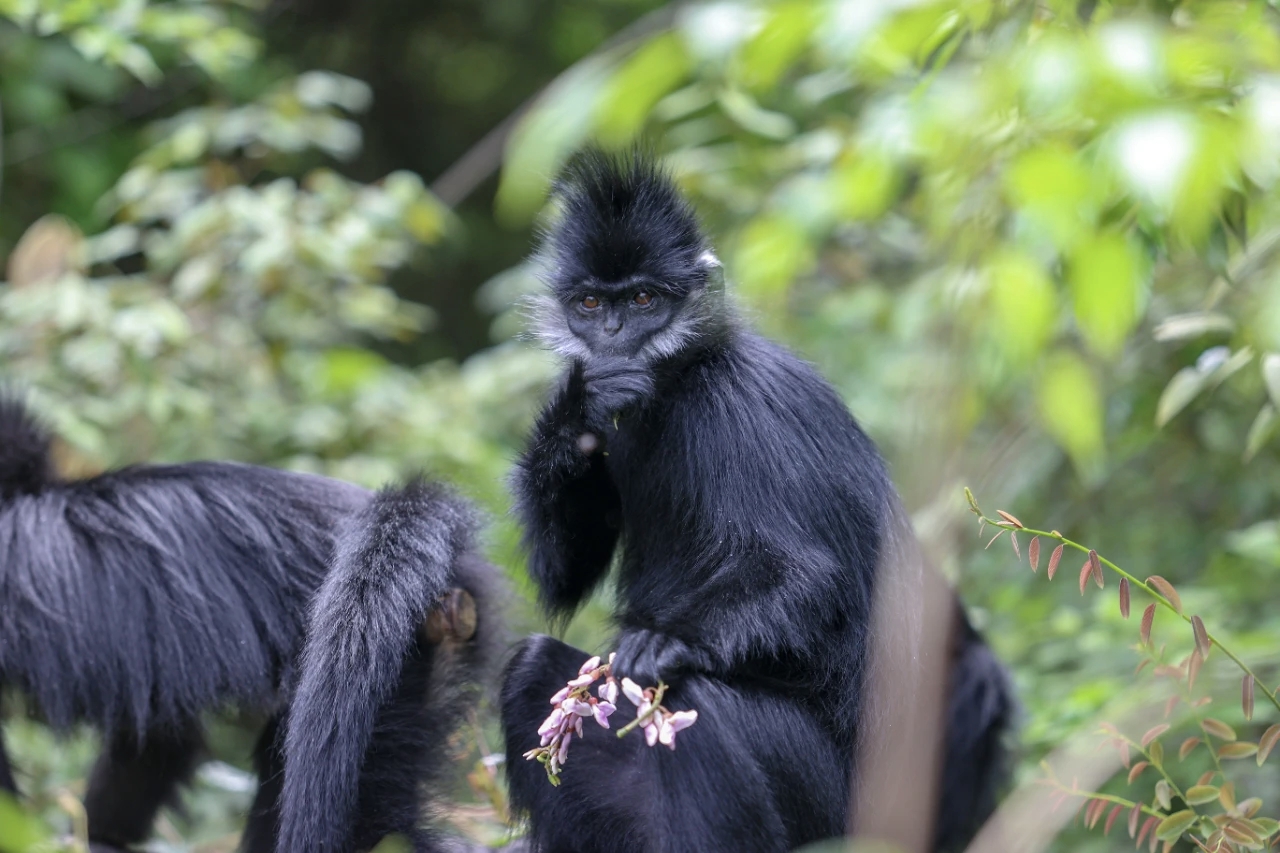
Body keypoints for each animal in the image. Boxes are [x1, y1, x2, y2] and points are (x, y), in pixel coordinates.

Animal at [499, 150, 1015, 853]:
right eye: (590, 302)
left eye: (642, 300)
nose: (613, 334)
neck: (680, 383)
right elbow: (562, 575)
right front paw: (580, 405)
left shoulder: (742, 410)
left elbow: (807, 578)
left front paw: (665, 642)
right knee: (532, 667)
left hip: (830, 808)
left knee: (700, 697)